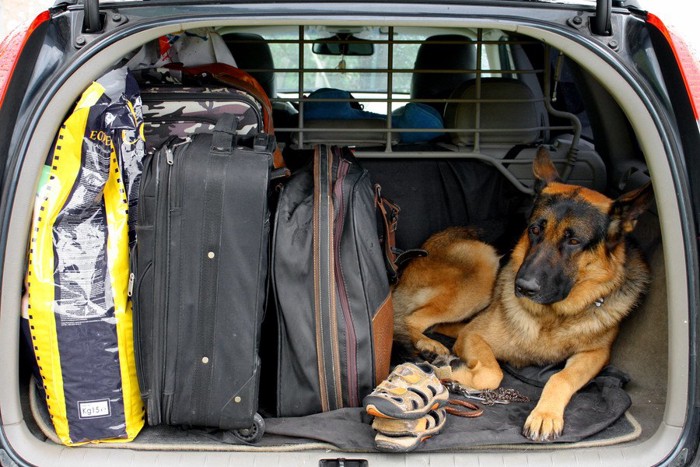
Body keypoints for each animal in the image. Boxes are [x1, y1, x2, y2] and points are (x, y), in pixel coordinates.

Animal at [394, 149, 652, 442]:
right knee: (412, 319)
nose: (523, 286)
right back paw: (429, 346)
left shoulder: (596, 354)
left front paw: (546, 414)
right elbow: (492, 373)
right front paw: (454, 374)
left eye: (574, 241)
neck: (553, 316)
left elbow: (561, 377)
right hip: (484, 262)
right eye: (534, 230)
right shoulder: (474, 335)